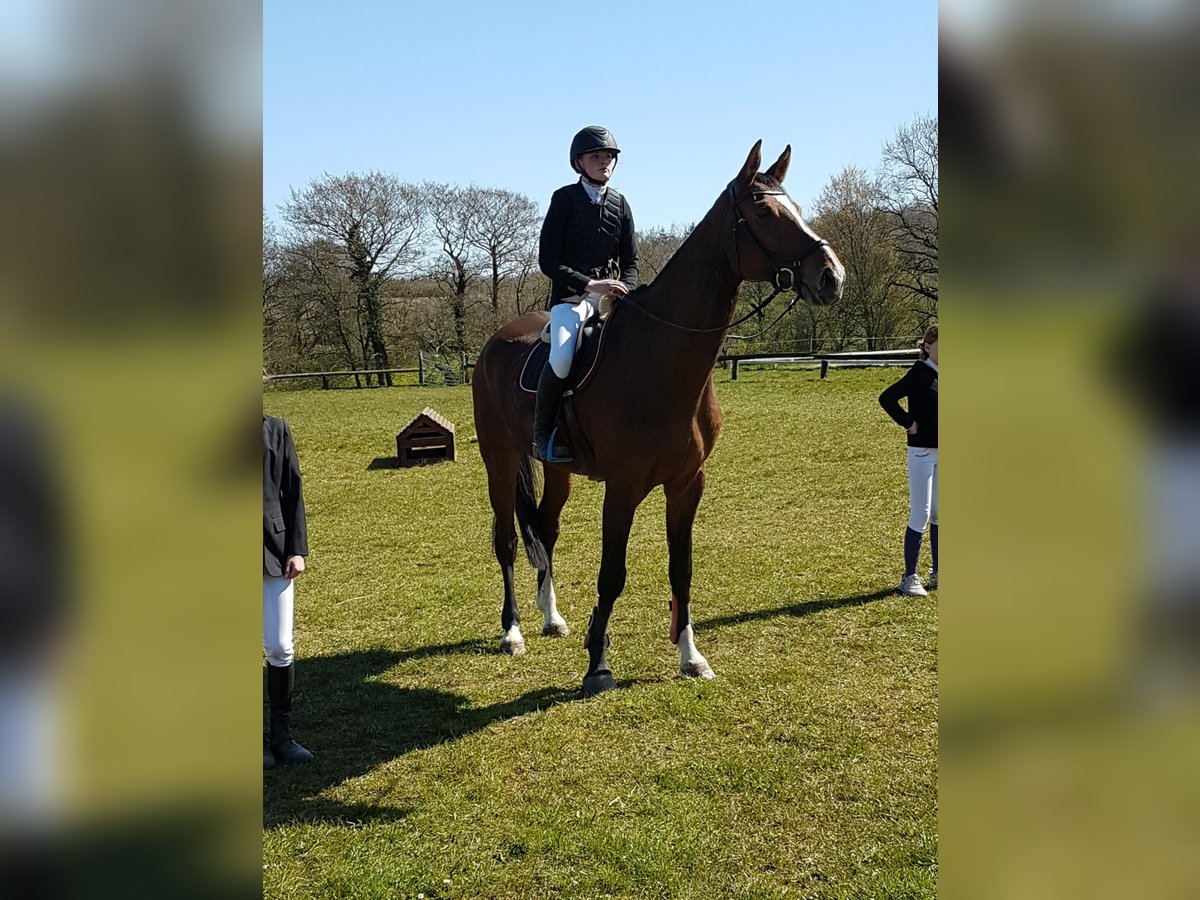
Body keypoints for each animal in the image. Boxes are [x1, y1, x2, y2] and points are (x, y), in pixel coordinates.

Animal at [468, 142, 844, 696]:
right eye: (763, 211)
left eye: (793, 205)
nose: (831, 277)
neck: (661, 357)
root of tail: (496, 341)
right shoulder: (622, 486)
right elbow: (612, 574)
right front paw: (597, 664)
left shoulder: (688, 482)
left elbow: (681, 568)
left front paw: (691, 657)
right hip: (499, 458)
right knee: (509, 539)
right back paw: (512, 631)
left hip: (557, 469)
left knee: (547, 529)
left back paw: (551, 618)